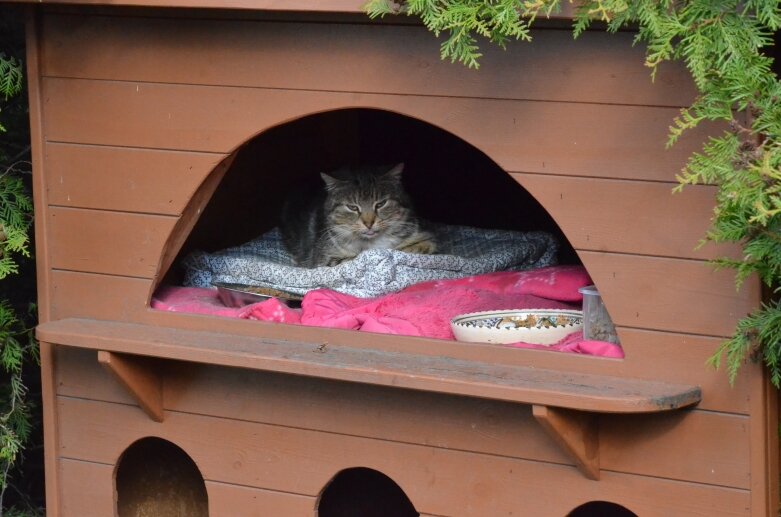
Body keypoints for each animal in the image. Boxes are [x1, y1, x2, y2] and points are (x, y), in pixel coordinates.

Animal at [280, 162, 438, 266]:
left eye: (380, 204)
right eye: (352, 207)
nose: (369, 223)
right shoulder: (326, 259)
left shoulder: (424, 237)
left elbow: (423, 245)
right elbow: (351, 260)